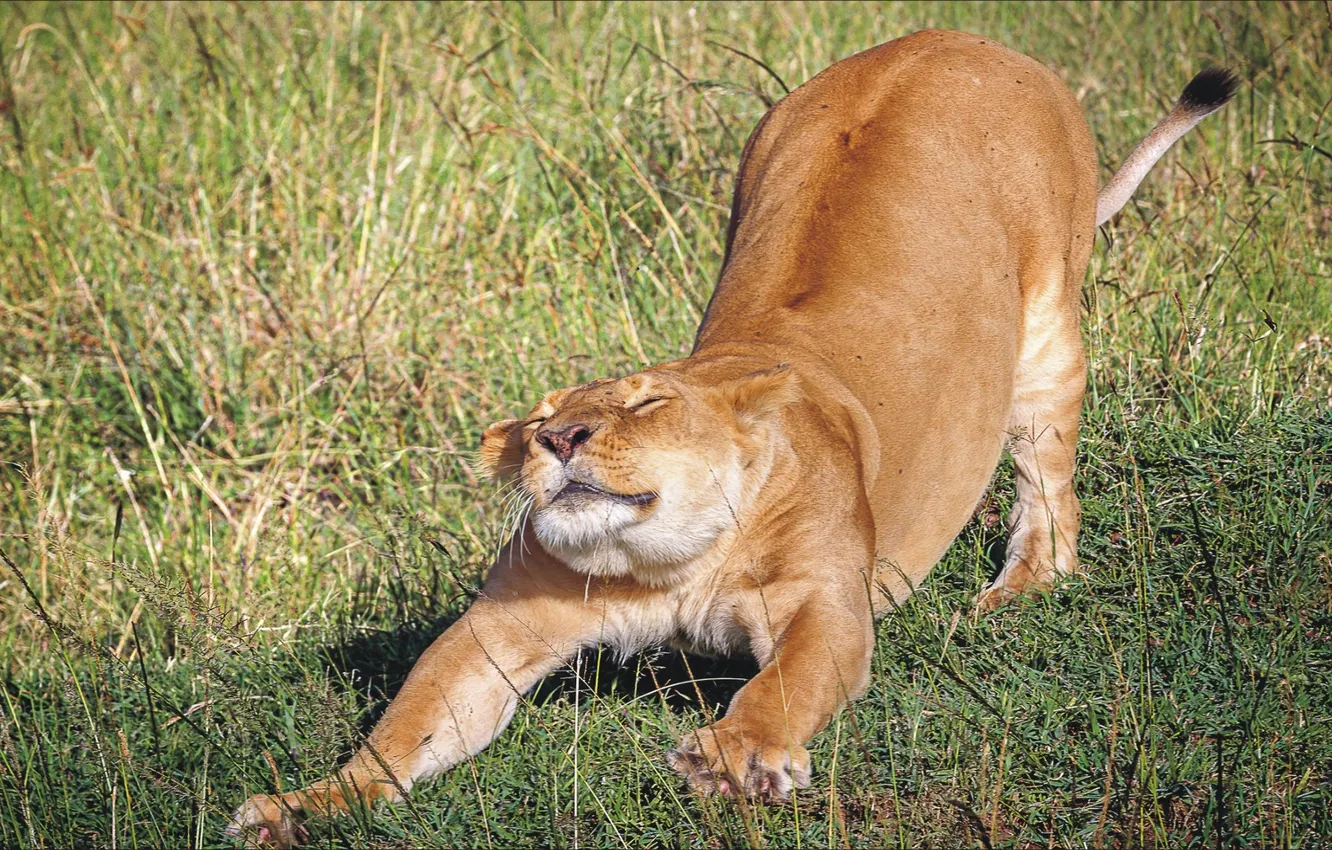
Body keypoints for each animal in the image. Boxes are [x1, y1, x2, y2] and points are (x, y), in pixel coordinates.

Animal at [229, 30, 1235, 847]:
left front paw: (734, 759)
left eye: (642, 404)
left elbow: (787, 684)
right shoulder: (500, 627)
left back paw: (1019, 586)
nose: (559, 440)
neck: (667, 561)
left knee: (1047, 482)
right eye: (536, 421)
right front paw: (307, 806)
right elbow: (407, 728)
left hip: (1048, 334)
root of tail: (963, 37)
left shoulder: (828, 601)